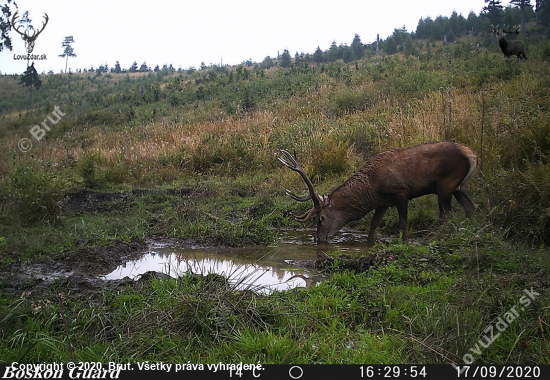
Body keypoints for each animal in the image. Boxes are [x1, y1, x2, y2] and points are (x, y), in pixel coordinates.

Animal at [280, 141, 478, 245]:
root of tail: (473, 155)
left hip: (445, 184)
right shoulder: (382, 203)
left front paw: (403, 243)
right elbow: (373, 225)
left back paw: (432, 239)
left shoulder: (402, 193)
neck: (371, 190)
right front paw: (369, 244)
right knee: (471, 207)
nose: (319, 238)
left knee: (445, 214)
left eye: (321, 218)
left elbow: (403, 223)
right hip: (458, 187)